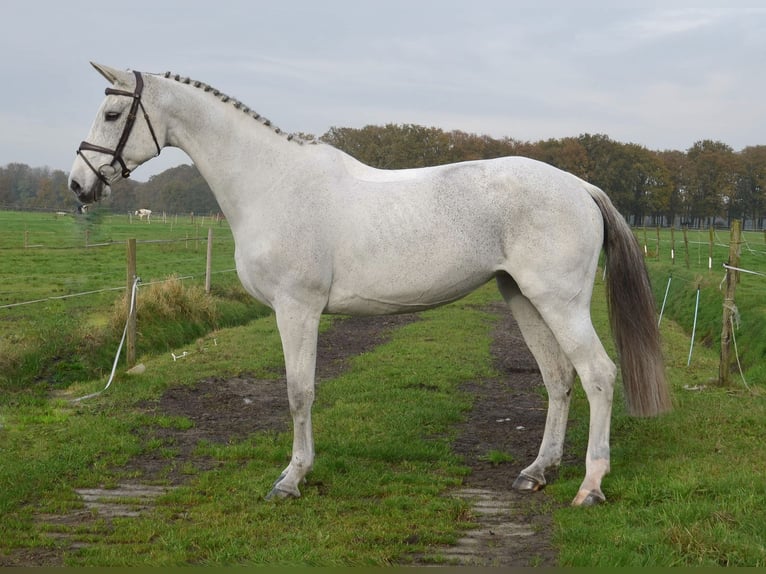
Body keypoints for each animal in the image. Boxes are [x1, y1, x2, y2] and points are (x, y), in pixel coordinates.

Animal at [70, 60, 672, 506]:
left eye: (113, 111)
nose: (79, 185)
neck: (272, 182)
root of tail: (579, 186)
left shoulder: (297, 308)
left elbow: (298, 391)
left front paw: (291, 479)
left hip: (559, 302)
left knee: (598, 375)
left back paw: (590, 486)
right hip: (523, 297)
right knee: (558, 378)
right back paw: (537, 471)